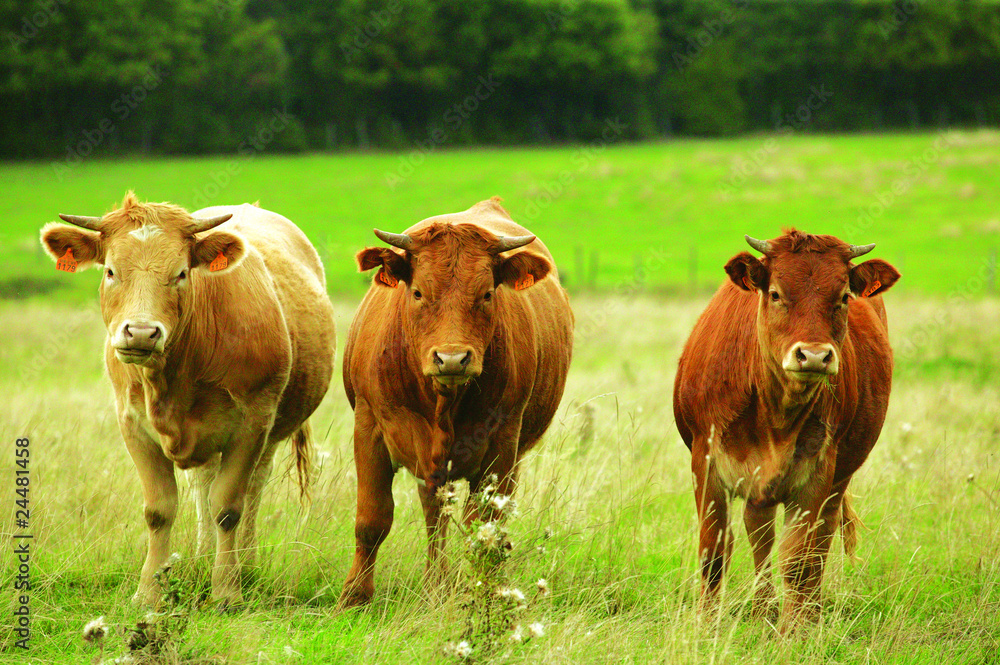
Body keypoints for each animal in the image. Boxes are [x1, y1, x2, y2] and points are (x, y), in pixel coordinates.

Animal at [39, 192, 336, 607]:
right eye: (111, 271)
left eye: (181, 273)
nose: (141, 332)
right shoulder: (133, 426)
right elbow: (160, 510)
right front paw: (149, 592)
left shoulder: (252, 425)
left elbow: (228, 507)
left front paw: (227, 590)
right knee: (203, 486)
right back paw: (201, 558)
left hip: (270, 433)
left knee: (251, 491)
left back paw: (245, 565)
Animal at [339, 197, 573, 606]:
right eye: (418, 292)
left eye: (487, 294)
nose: (451, 359)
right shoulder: (369, 428)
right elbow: (372, 519)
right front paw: (354, 597)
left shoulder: (502, 445)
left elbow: (484, 527)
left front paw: (481, 594)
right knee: (434, 512)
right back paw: (436, 582)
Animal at [673, 229, 900, 630]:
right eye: (776, 293)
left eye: (843, 297)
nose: (813, 356)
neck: (775, 416)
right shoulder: (706, 461)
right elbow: (713, 549)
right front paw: (706, 624)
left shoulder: (818, 473)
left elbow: (798, 559)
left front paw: (794, 630)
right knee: (759, 534)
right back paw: (763, 609)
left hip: (838, 480)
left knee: (818, 544)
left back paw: (808, 612)